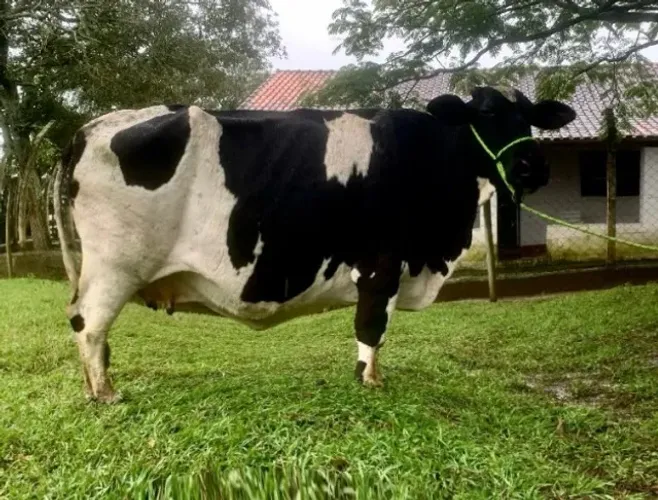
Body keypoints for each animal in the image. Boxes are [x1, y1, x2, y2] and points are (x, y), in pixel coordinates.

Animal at [53, 86, 576, 403]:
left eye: (530, 117)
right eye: (486, 114)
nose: (532, 167)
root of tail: (88, 129)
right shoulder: (382, 263)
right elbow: (371, 327)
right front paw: (370, 381)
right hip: (116, 265)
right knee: (89, 323)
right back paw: (105, 393)